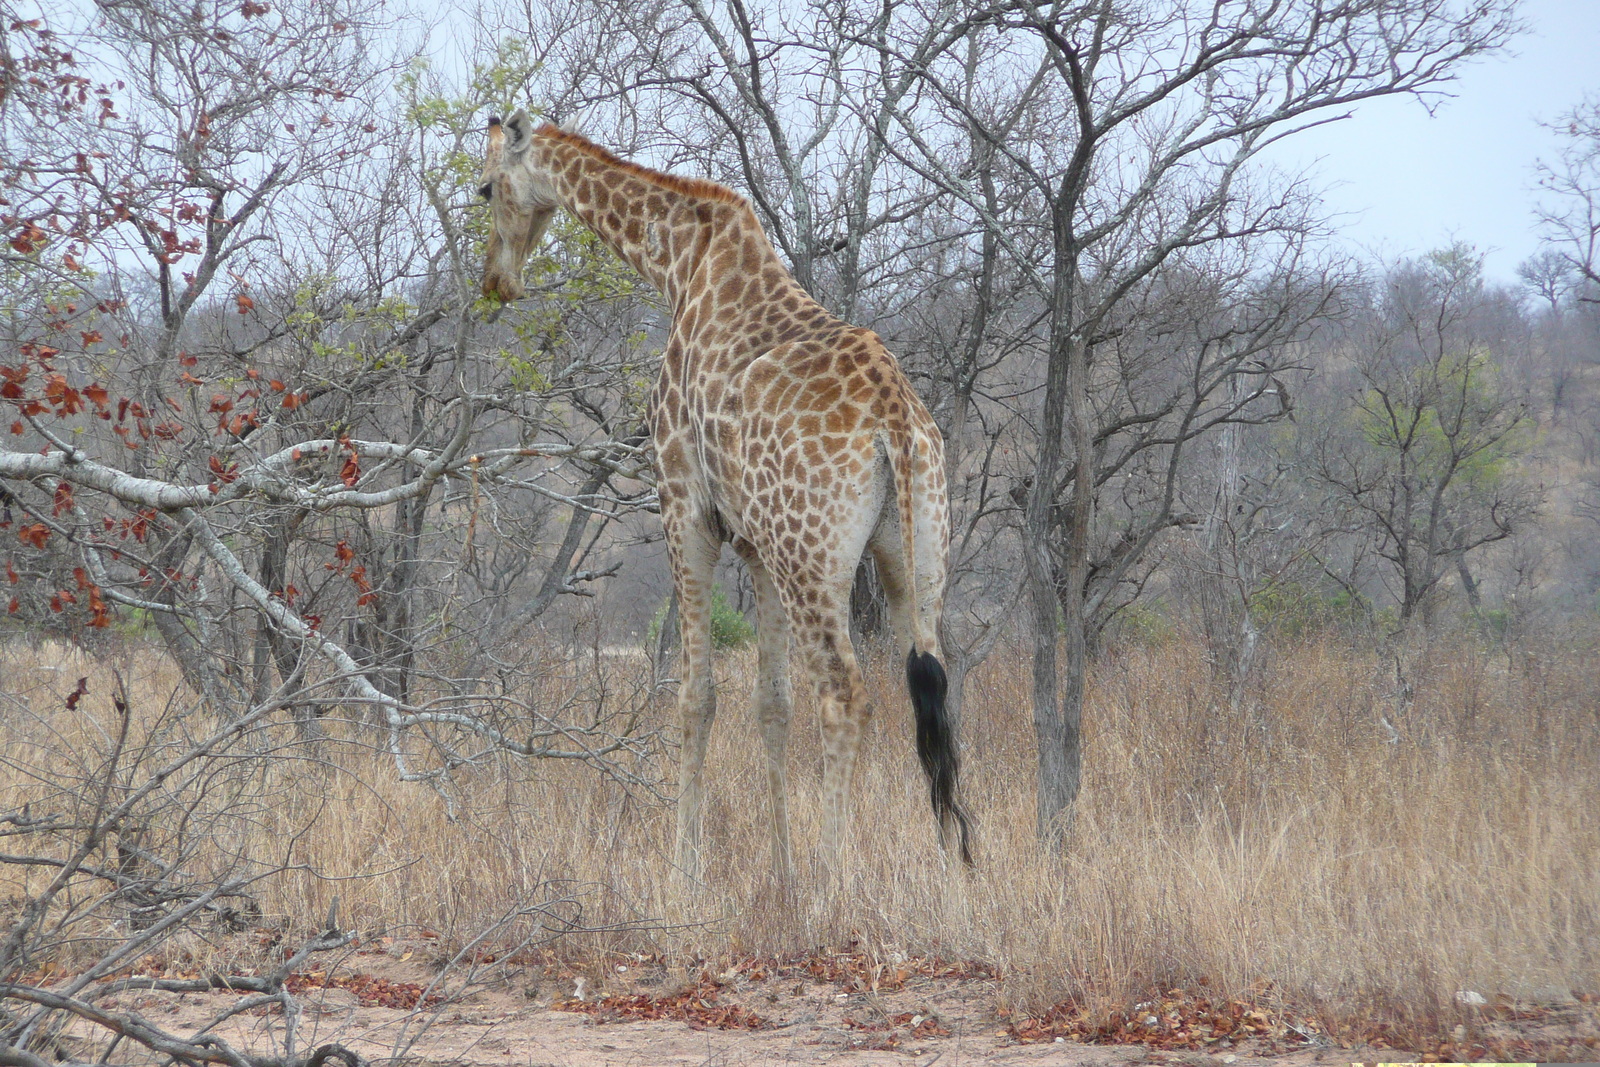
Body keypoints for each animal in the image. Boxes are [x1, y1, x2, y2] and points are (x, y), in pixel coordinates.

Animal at [480, 108, 966, 883]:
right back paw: (952, 881)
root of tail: (894, 420)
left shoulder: (684, 505)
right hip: (914, 553)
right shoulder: (757, 545)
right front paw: (782, 870)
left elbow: (695, 697)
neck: (678, 262)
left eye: (485, 187)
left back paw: (835, 884)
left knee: (846, 696)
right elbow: (771, 704)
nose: (496, 281)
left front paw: (687, 872)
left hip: (813, 559)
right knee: (932, 691)